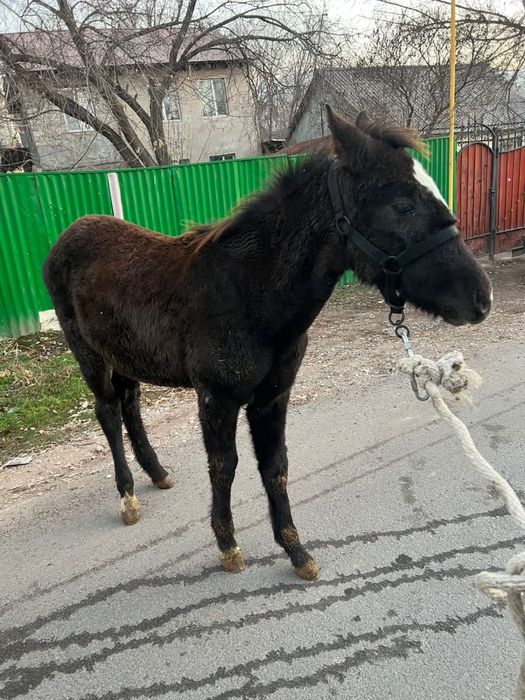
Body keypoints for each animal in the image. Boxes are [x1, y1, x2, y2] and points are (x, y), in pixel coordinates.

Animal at [43, 107, 492, 581]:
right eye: (403, 205)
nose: (481, 298)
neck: (250, 296)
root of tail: (68, 235)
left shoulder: (273, 397)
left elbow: (275, 468)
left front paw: (296, 551)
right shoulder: (216, 397)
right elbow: (223, 468)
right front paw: (228, 547)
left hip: (125, 355)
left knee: (129, 405)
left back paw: (157, 472)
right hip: (88, 354)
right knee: (108, 411)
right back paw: (127, 495)